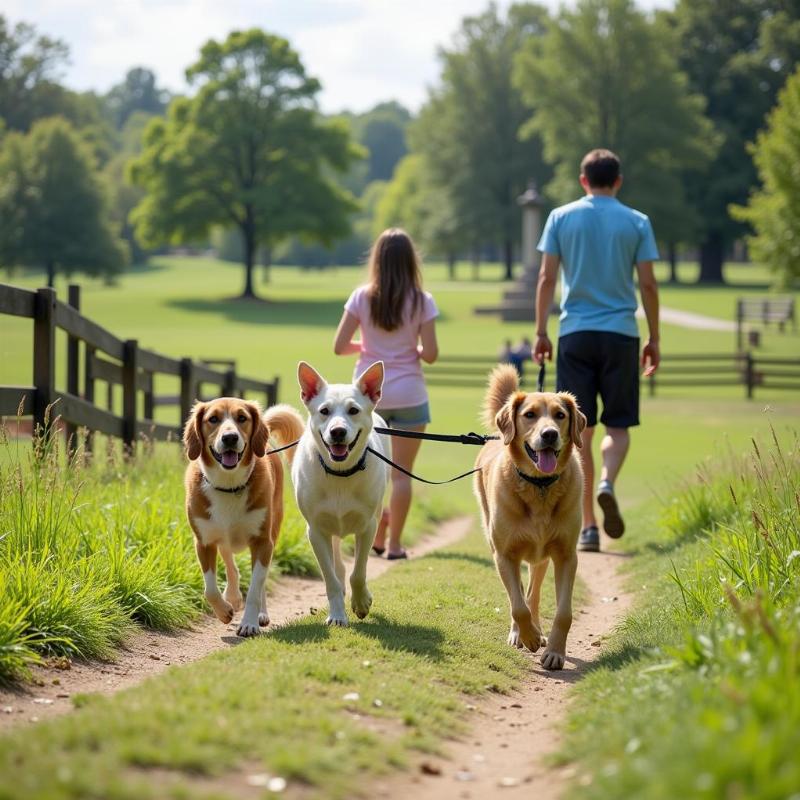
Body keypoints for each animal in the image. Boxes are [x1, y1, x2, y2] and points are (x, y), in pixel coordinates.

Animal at [184, 400, 304, 636]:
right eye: (213, 419)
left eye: (242, 418)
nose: (230, 437)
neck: (229, 485)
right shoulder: (204, 541)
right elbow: (210, 589)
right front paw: (224, 611)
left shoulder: (262, 542)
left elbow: (256, 586)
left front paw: (249, 622)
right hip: (222, 536)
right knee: (231, 563)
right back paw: (232, 596)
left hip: (272, 531)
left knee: (261, 579)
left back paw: (261, 613)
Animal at [290, 360, 390, 628]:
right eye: (324, 411)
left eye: (353, 410)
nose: (337, 432)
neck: (340, 474)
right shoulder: (315, 531)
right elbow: (330, 578)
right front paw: (337, 614)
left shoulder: (368, 526)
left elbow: (359, 572)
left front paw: (361, 602)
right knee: (337, 564)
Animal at [472, 366, 584, 672]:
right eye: (530, 414)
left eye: (560, 415)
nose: (549, 434)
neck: (540, 486)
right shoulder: (504, 555)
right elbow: (517, 604)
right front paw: (528, 637)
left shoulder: (566, 555)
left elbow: (563, 612)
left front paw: (554, 652)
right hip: (496, 543)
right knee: (520, 594)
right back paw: (521, 633)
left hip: (541, 558)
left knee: (532, 592)